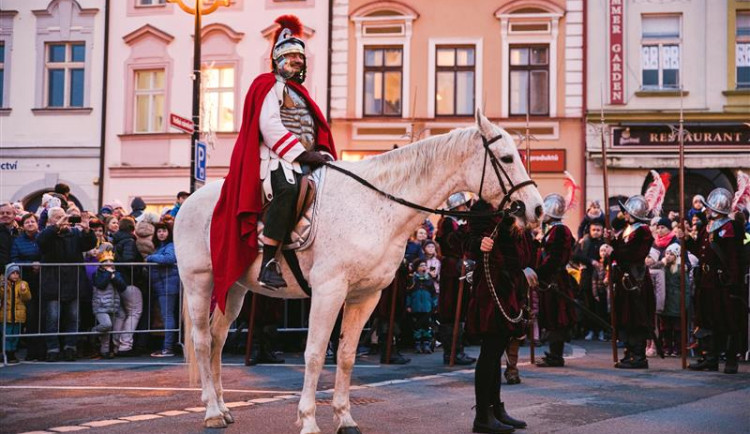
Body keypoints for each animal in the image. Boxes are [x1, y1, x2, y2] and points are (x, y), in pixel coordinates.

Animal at [173, 110, 544, 432]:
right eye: (507, 158)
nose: (537, 209)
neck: (377, 206)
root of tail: (191, 201)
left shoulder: (366, 296)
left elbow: (347, 355)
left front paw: (344, 418)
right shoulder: (328, 291)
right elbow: (315, 354)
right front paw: (308, 420)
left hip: (234, 288)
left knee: (218, 339)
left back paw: (223, 407)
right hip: (199, 282)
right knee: (203, 341)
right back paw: (211, 411)